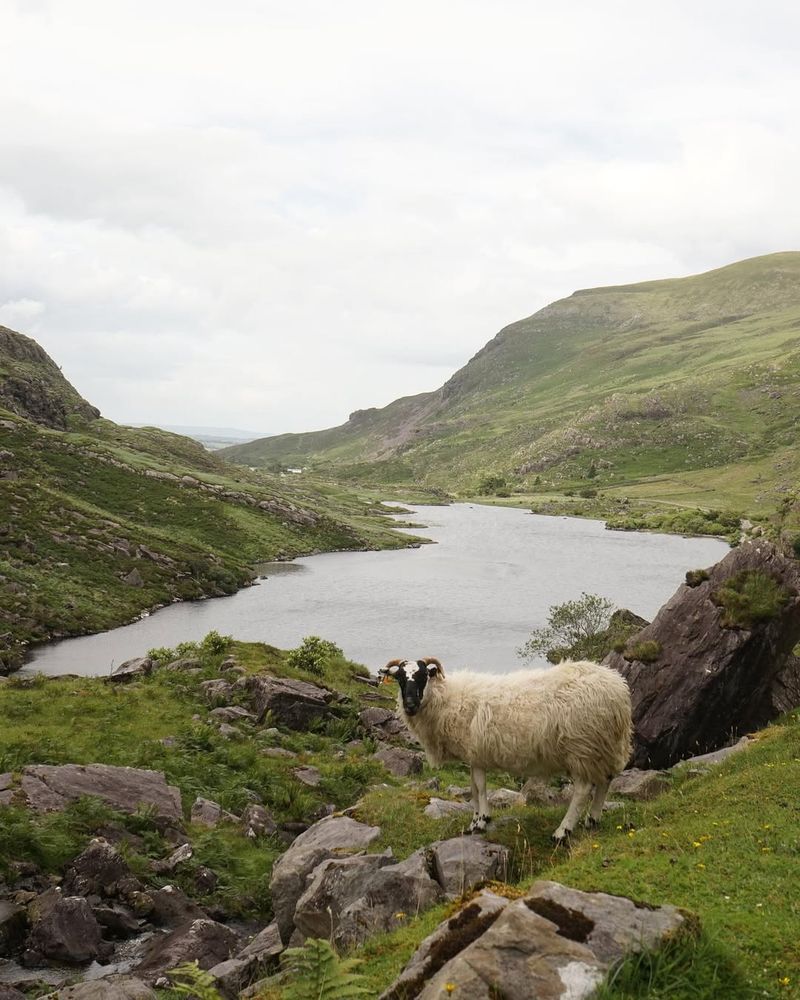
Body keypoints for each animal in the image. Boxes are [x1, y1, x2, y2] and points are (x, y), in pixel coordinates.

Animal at [378, 656, 636, 844]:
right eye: (400, 678)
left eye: (423, 676)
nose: (410, 705)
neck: (447, 699)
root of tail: (618, 689)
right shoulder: (474, 756)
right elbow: (473, 789)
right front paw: (474, 821)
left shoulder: (477, 752)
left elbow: (480, 788)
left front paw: (482, 821)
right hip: (604, 746)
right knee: (605, 780)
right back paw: (593, 820)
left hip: (581, 746)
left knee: (583, 790)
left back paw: (562, 832)